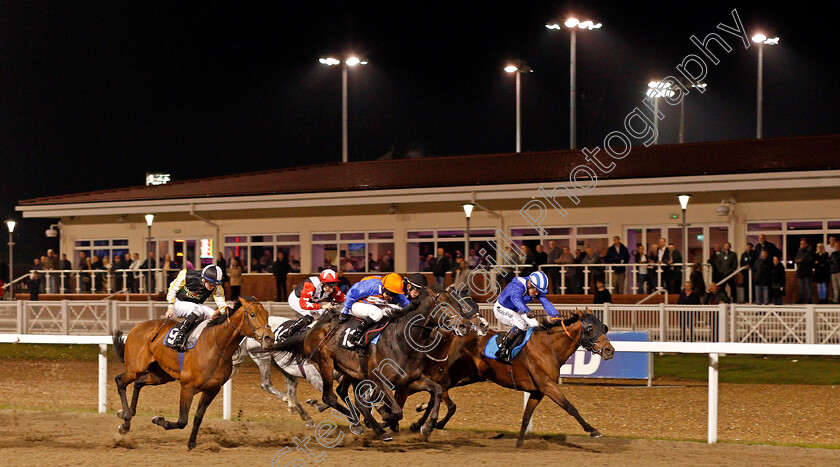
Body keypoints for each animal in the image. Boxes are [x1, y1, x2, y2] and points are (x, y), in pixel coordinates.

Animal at [111, 296, 272, 450]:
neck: (216, 346)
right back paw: (125, 416)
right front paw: (160, 420)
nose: (269, 337)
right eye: (252, 314)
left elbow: (198, 417)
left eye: (267, 314)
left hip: (161, 374)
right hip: (135, 368)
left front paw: (192, 443)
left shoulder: (212, 389)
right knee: (120, 381)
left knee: (138, 383)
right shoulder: (187, 386)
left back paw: (126, 419)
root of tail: (136, 327)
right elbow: (182, 420)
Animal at [278, 288, 470, 442]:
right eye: (444, 305)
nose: (464, 325)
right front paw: (384, 422)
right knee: (330, 397)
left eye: (459, 305)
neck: (403, 341)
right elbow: (396, 411)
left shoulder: (410, 381)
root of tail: (313, 328)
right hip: (325, 363)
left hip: (351, 371)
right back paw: (362, 424)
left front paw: (427, 426)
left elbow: (436, 390)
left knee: (348, 396)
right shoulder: (380, 380)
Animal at [398, 308, 612, 448]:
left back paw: (421, 422)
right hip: (451, 373)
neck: (548, 347)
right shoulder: (547, 385)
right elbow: (570, 407)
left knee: (438, 391)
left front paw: (519, 442)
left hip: (470, 376)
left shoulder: (538, 391)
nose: (610, 350)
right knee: (435, 390)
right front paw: (593, 430)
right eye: (590, 329)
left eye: (605, 327)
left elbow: (526, 416)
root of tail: (452, 333)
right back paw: (425, 422)